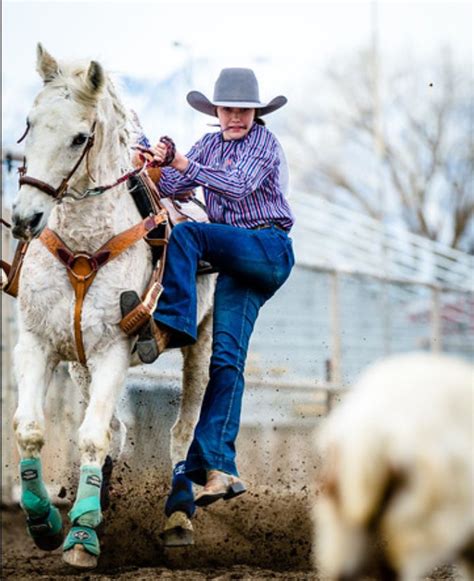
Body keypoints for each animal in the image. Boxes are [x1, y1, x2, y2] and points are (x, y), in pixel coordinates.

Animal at [11, 44, 215, 568]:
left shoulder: (114, 351)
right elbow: (31, 429)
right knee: (116, 428)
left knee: (182, 431)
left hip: (203, 345)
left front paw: (82, 537)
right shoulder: (38, 344)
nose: (24, 218)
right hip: (78, 364)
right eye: (29, 122)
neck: (84, 245)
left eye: (80, 137)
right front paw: (45, 521)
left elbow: (92, 435)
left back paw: (177, 519)